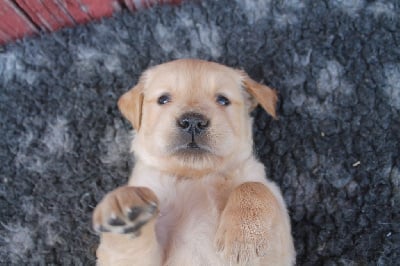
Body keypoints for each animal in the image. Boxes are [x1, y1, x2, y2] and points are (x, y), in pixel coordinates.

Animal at [92, 58, 296, 266]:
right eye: (163, 99)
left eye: (223, 100)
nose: (192, 122)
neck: (195, 177)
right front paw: (124, 208)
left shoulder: (280, 249)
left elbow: (253, 186)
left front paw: (243, 239)